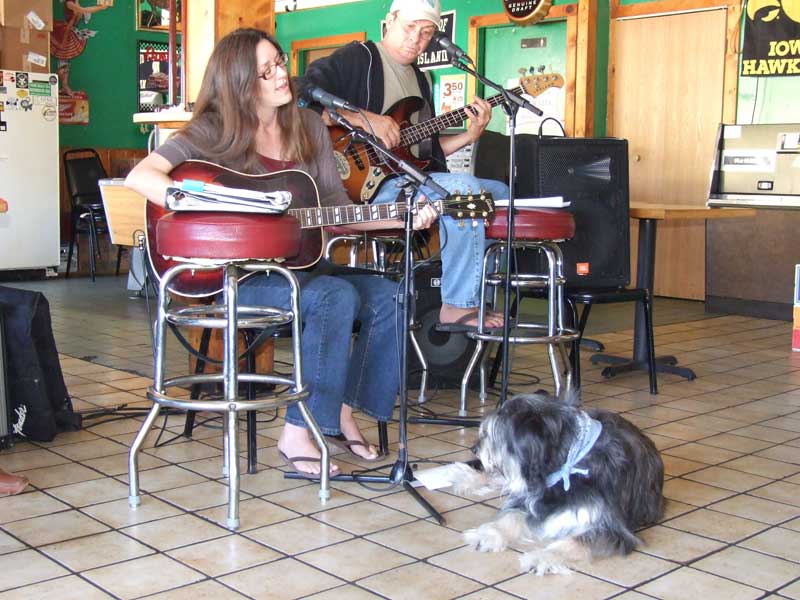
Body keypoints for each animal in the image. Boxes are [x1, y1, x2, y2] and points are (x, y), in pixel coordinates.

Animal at [450, 392, 664, 576]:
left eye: (494, 436)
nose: (474, 449)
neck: (567, 460)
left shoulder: (612, 529)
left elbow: (574, 541)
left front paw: (542, 557)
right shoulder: (530, 497)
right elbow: (510, 516)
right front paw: (488, 533)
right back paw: (462, 477)